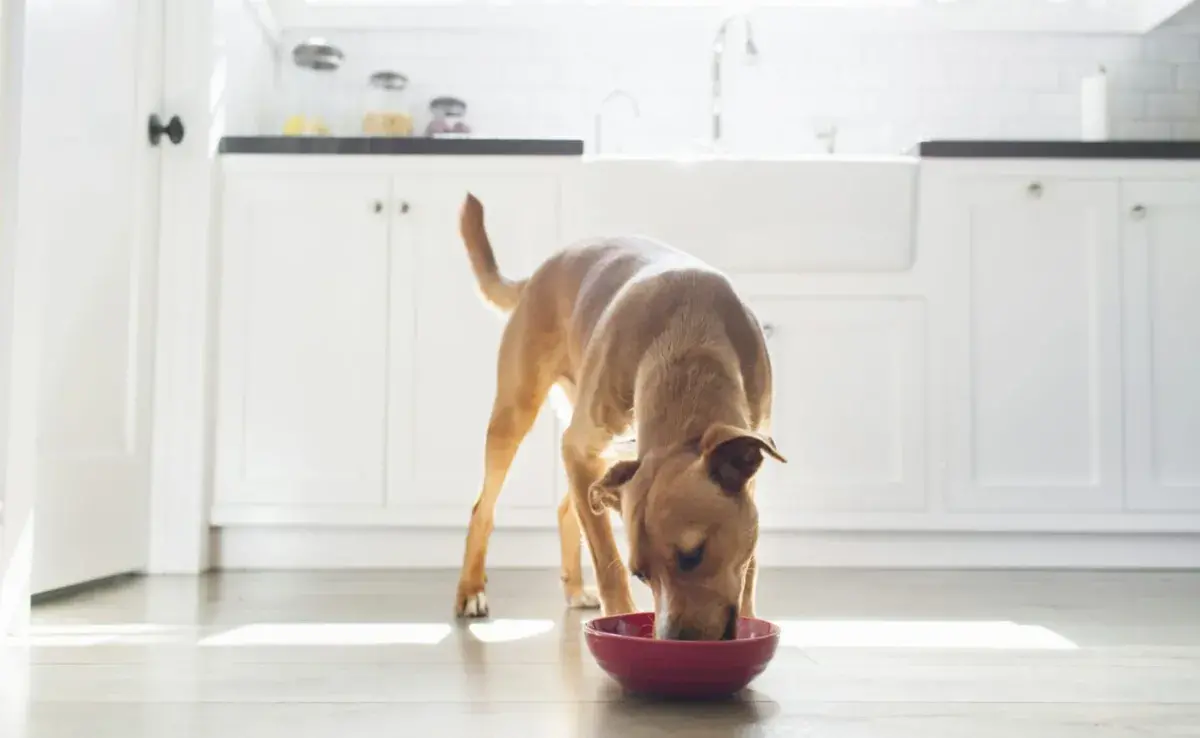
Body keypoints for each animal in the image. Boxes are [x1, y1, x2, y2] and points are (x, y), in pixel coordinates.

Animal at [453, 194, 782, 643]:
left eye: (693, 555)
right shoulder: (578, 449)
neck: (689, 340)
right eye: (642, 575)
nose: (673, 644)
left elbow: (748, 564)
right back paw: (470, 590)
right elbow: (606, 559)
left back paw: (574, 588)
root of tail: (537, 274)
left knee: (565, 509)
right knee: (483, 509)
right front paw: (619, 620)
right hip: (516, 414)